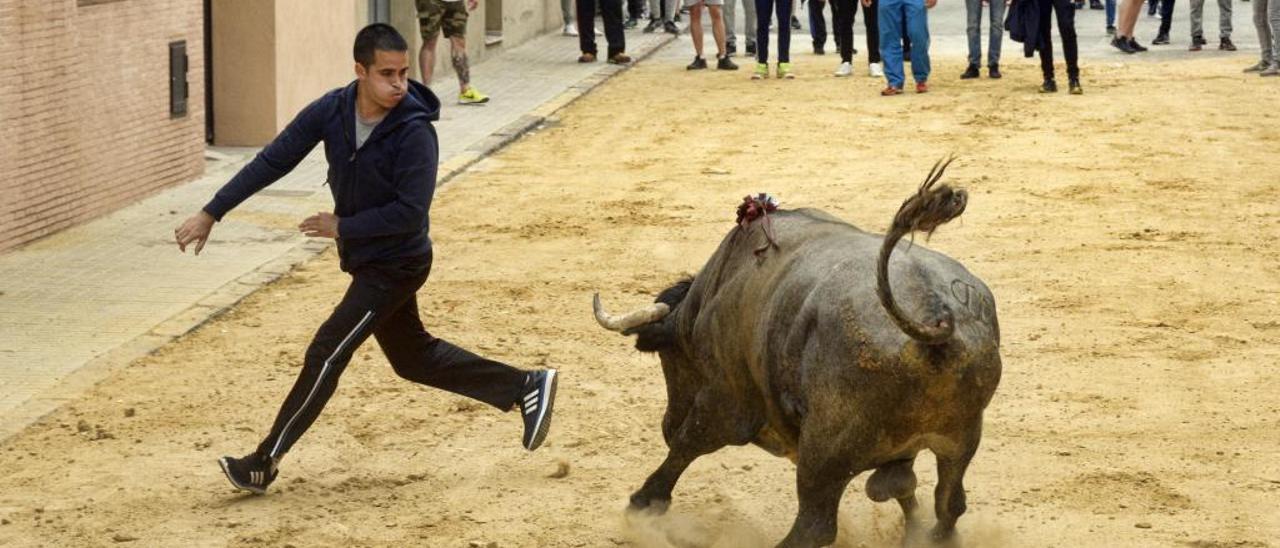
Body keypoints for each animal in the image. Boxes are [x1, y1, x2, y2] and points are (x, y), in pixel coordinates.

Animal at [588, 159, 998, 548]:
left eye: (667, 358)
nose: (666, 425)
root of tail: (931, 315)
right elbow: (896, 487)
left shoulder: (725, 401)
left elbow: (688, 445)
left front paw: (642, 504)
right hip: (961, 439)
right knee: (949, 504)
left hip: (823, 453)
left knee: (815, 526)